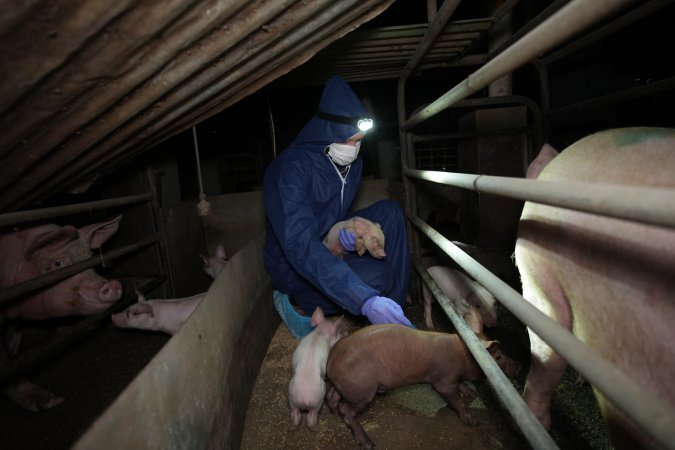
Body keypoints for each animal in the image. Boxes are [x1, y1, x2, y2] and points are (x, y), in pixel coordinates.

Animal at [324, 306, 520, 450]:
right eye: (499, 356)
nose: (515, 366)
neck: (466, 355)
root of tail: (331, 358)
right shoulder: (444, 381)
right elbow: (456, 400)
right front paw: (473, 421)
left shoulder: (453, 377)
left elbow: (461, 385)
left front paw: (472, 394)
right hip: (361, 389)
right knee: (346, 410)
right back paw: (368, 443)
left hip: (345, 385)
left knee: (332, 397)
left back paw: (332, 410)